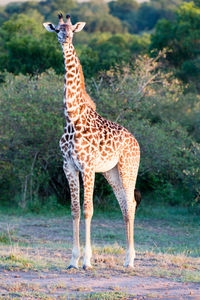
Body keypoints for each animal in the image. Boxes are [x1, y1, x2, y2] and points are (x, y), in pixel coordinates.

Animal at [43, 13, 141, 270]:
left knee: (131, 204)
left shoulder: (87, 166)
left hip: (128, 168)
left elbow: (88, 210)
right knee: (125, 205)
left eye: (72, 30)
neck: (72, 116)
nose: (65, 38)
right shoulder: (69, 166)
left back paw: (130, 260)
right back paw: (127, 258)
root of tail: (136, 142)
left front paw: (87, 260)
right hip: (111, 172)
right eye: (57, 29)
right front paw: (72, 260)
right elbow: (75, 210)